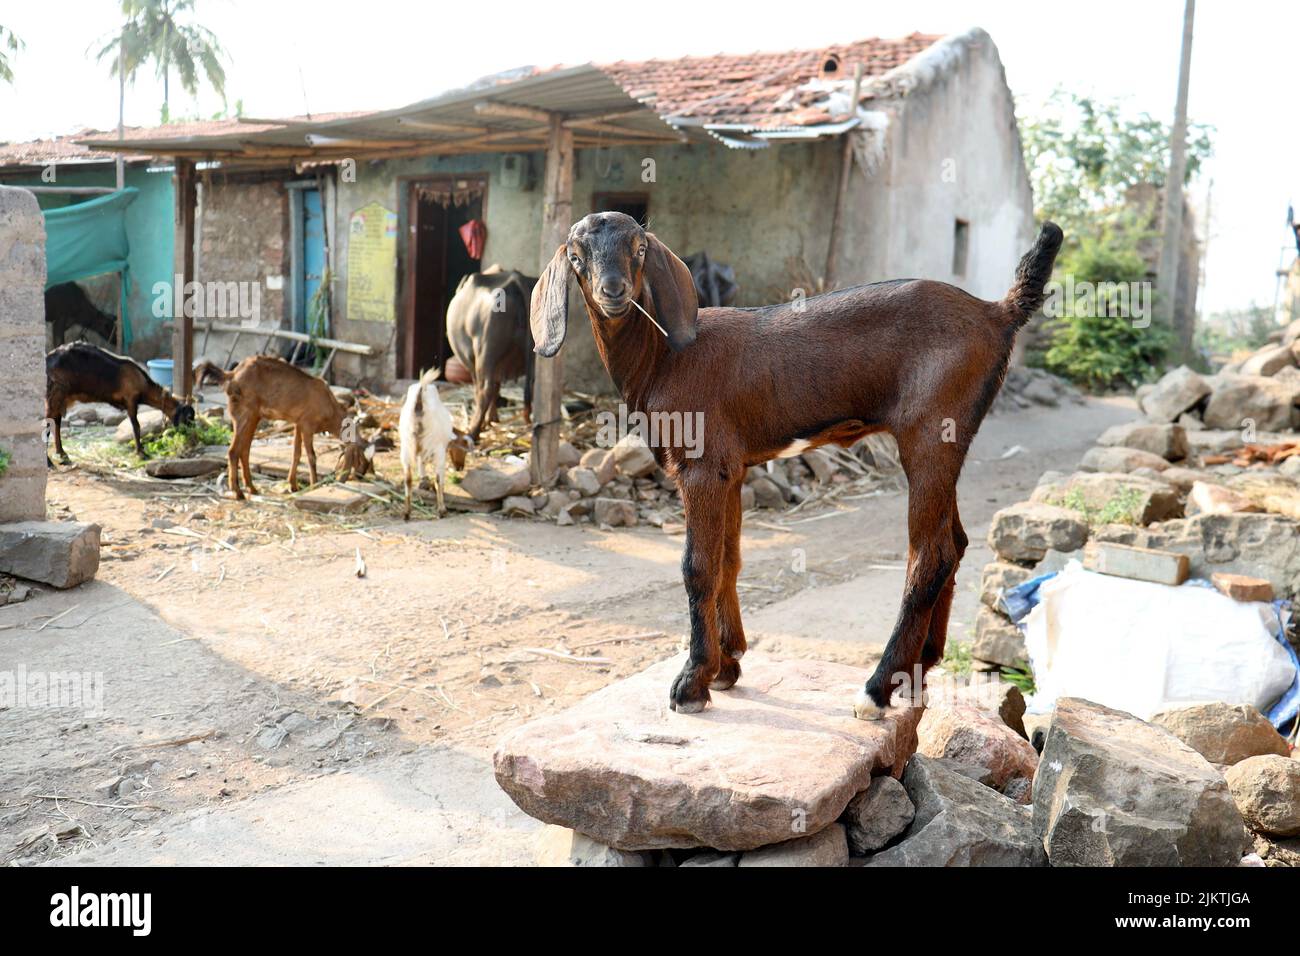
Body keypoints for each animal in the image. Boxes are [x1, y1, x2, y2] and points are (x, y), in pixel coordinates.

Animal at [46, 342, 194, 462]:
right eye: (188, 417)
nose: (190, 437)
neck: (143, 384)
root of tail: (48, 359)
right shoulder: (131, 400)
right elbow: (136, 427)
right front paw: (141, 453)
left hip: (61, 398)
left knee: (55, 423)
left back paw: (62, 454)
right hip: (54, 394)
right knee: (47, 423)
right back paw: (49, 462)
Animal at [194, 356, 348, 500]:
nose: (344, 476)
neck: (329, 405)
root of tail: (232, 375)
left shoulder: (298, 424)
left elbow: (296, 454)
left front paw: (293, 485)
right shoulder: (307, 426)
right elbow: (311, 457)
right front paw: (313, 486)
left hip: (252, 418)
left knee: (244, 451)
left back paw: (251, 488)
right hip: (245, 416)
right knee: (233, 451)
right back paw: (238, 492)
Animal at [399, 368, 472, 520]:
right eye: (463, 450)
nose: (460, 467)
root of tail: (419, 401)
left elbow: (421, 465)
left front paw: (425, 483)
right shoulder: (438, 449)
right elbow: (438, 478)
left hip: (405, 447)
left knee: (407, 478)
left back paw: (407, 512)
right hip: (437, 449)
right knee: (439, 478)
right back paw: (442, 509)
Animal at [445, 269, 535, 441]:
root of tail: (516, 278)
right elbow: (497, 388)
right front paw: (492, 419)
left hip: (485, 354)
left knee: (485, 389)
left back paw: (472, 431)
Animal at [530, 211, 1062, 718]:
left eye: (640, 248)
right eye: (576, 256)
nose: (613, 291)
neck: (663, 357)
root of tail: (995, 312)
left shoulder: (701, 466)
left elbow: (697, 566)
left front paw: (693, 682)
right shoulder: (731, 468)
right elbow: (728, 559)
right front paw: (728, 665)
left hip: (931, 433)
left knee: (929, 555)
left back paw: (875, 689)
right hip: (947, 442)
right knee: (956, 544)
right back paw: (917, 671)